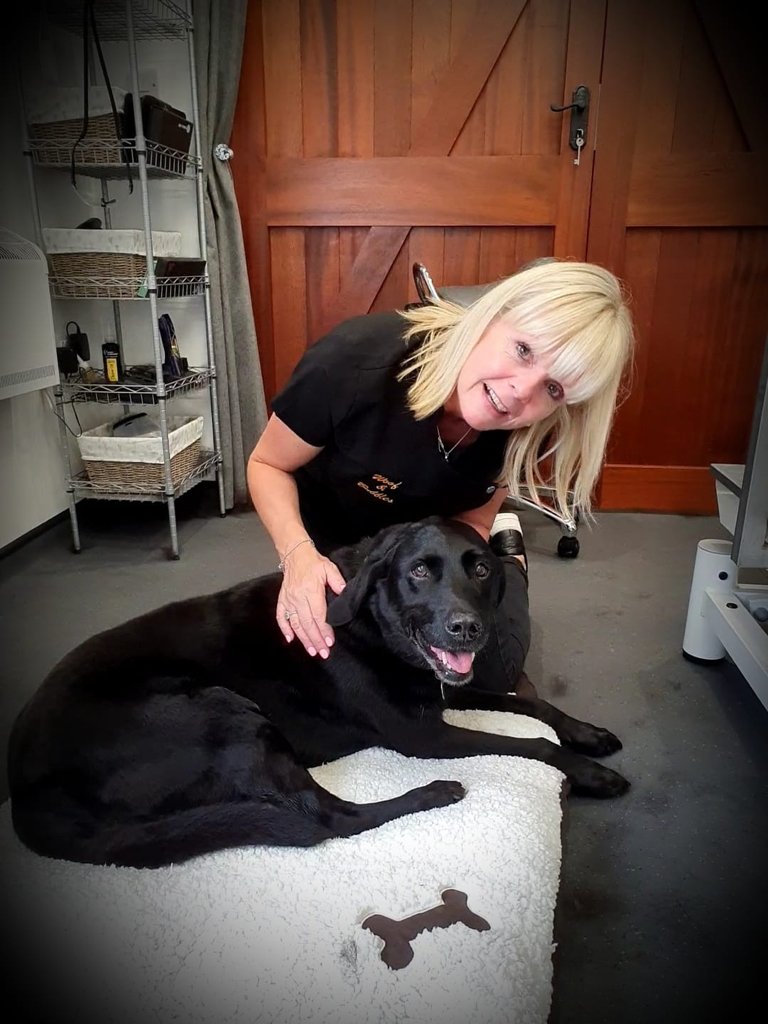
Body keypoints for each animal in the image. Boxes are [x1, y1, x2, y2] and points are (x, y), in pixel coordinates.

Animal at [7, 516, 630, 868]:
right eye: (419, 572)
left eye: (480, 570)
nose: (467, 629)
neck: (372, 623)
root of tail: (24, 790)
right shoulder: (421, 734)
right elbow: (533, 743)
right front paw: (591, 773)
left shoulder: (445, 692)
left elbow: (533, 705)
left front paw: (590, 734)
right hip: (229, 715)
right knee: (325, 819)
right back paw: (432, 794)